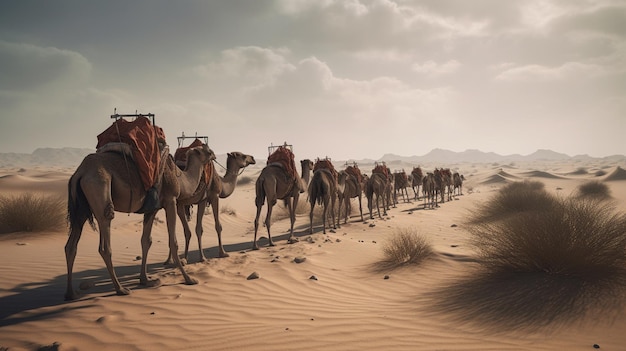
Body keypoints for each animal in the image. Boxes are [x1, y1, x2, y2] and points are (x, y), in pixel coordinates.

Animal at [64, 144, 213, 302]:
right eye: (206, 151)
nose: (214, 155)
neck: (180, 179)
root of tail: (80, 172)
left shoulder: (152, 209)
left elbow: (146, 241)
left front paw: (145, 280)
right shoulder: (170, 200)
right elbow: (173, 242)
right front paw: (189, 279)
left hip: (81, 208)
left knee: (70, 247)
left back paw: (70, 294)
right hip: (99, 189)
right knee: (104, 241)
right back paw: (120, 289)